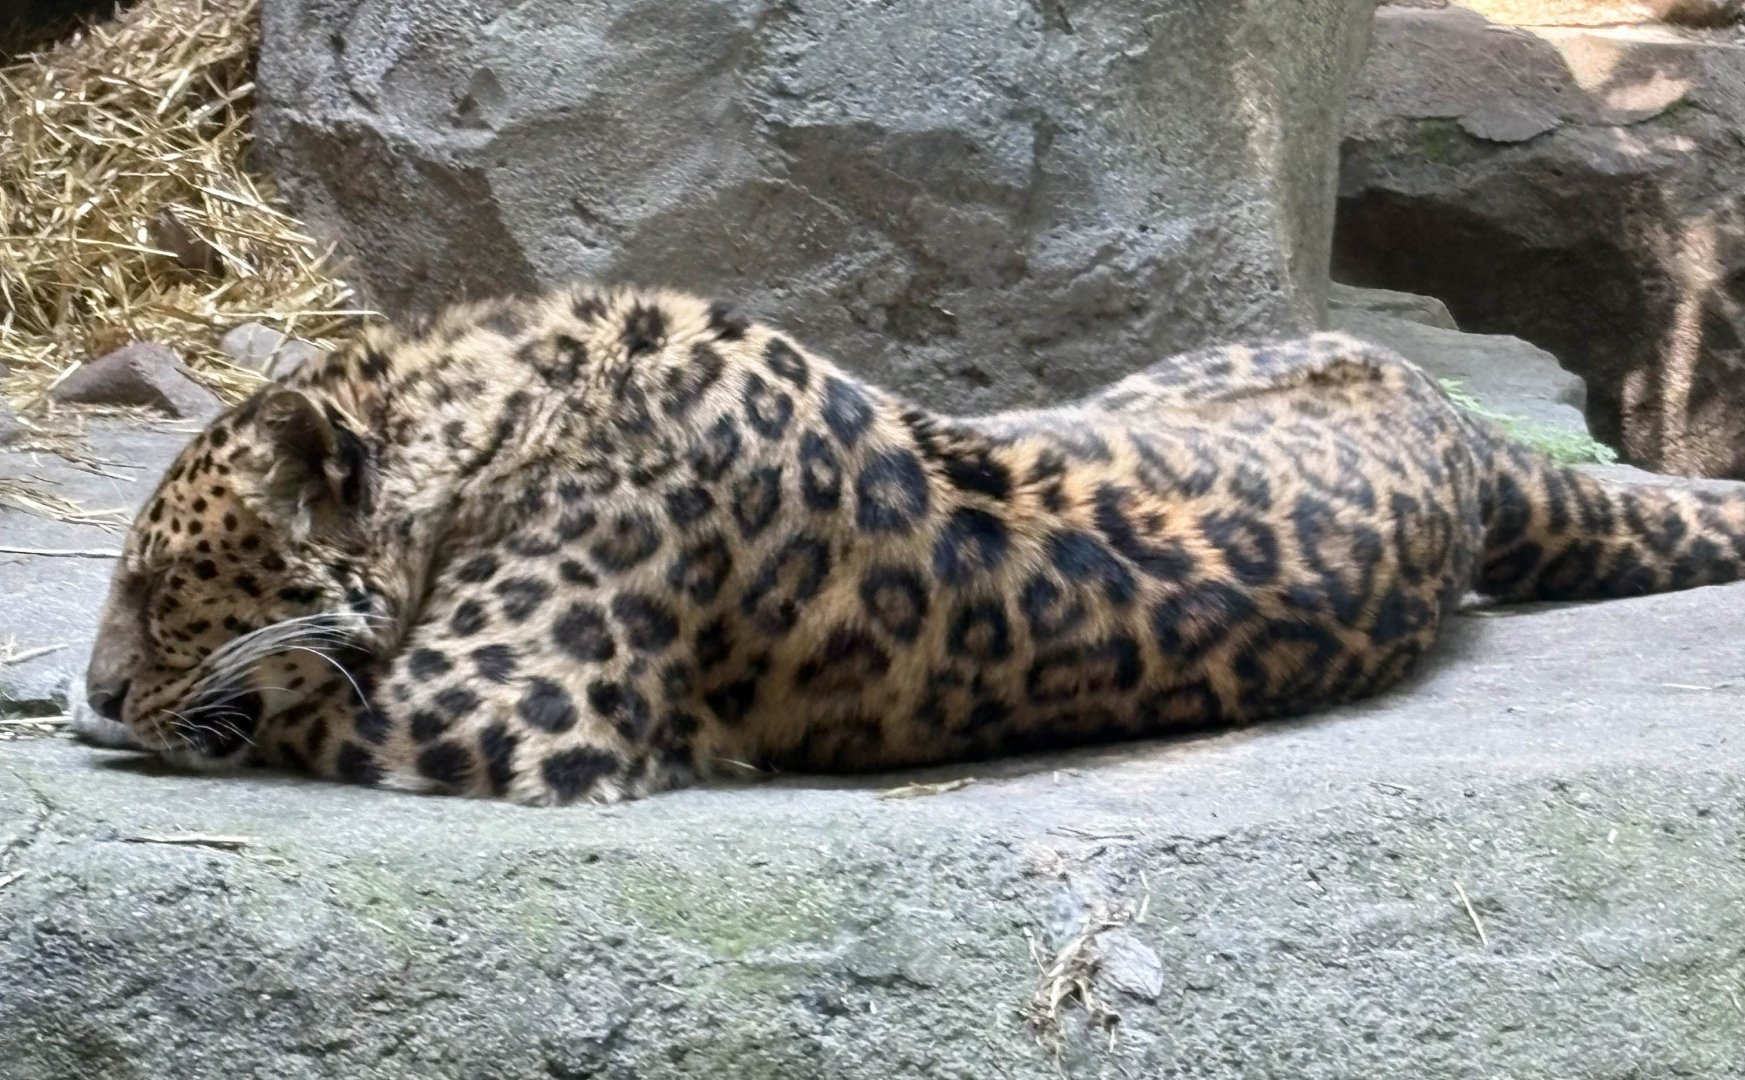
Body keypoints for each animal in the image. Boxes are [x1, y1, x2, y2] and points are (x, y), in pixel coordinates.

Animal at [82, 283, 1745, 805]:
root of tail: (1450, 419)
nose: (97, 686)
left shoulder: (496, 711)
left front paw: (122, 721)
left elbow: (307, 699)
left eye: (160, 590)